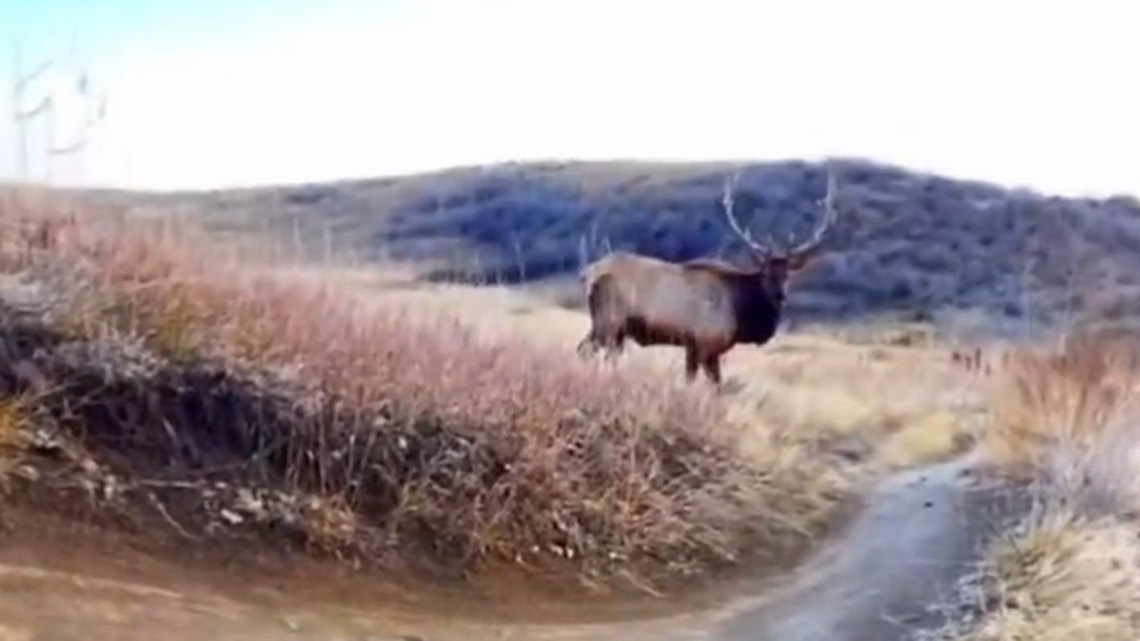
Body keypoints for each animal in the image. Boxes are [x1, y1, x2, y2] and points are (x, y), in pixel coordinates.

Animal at [575, 166, 841, 386]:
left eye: (789, 274)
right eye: (765, 271)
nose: (779, 295)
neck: (741, 311)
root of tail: (588, 274)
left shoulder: (692, 348)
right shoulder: (706, 344)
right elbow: (712, 386)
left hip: (610, 328)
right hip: (609, 321)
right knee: (586, 351)